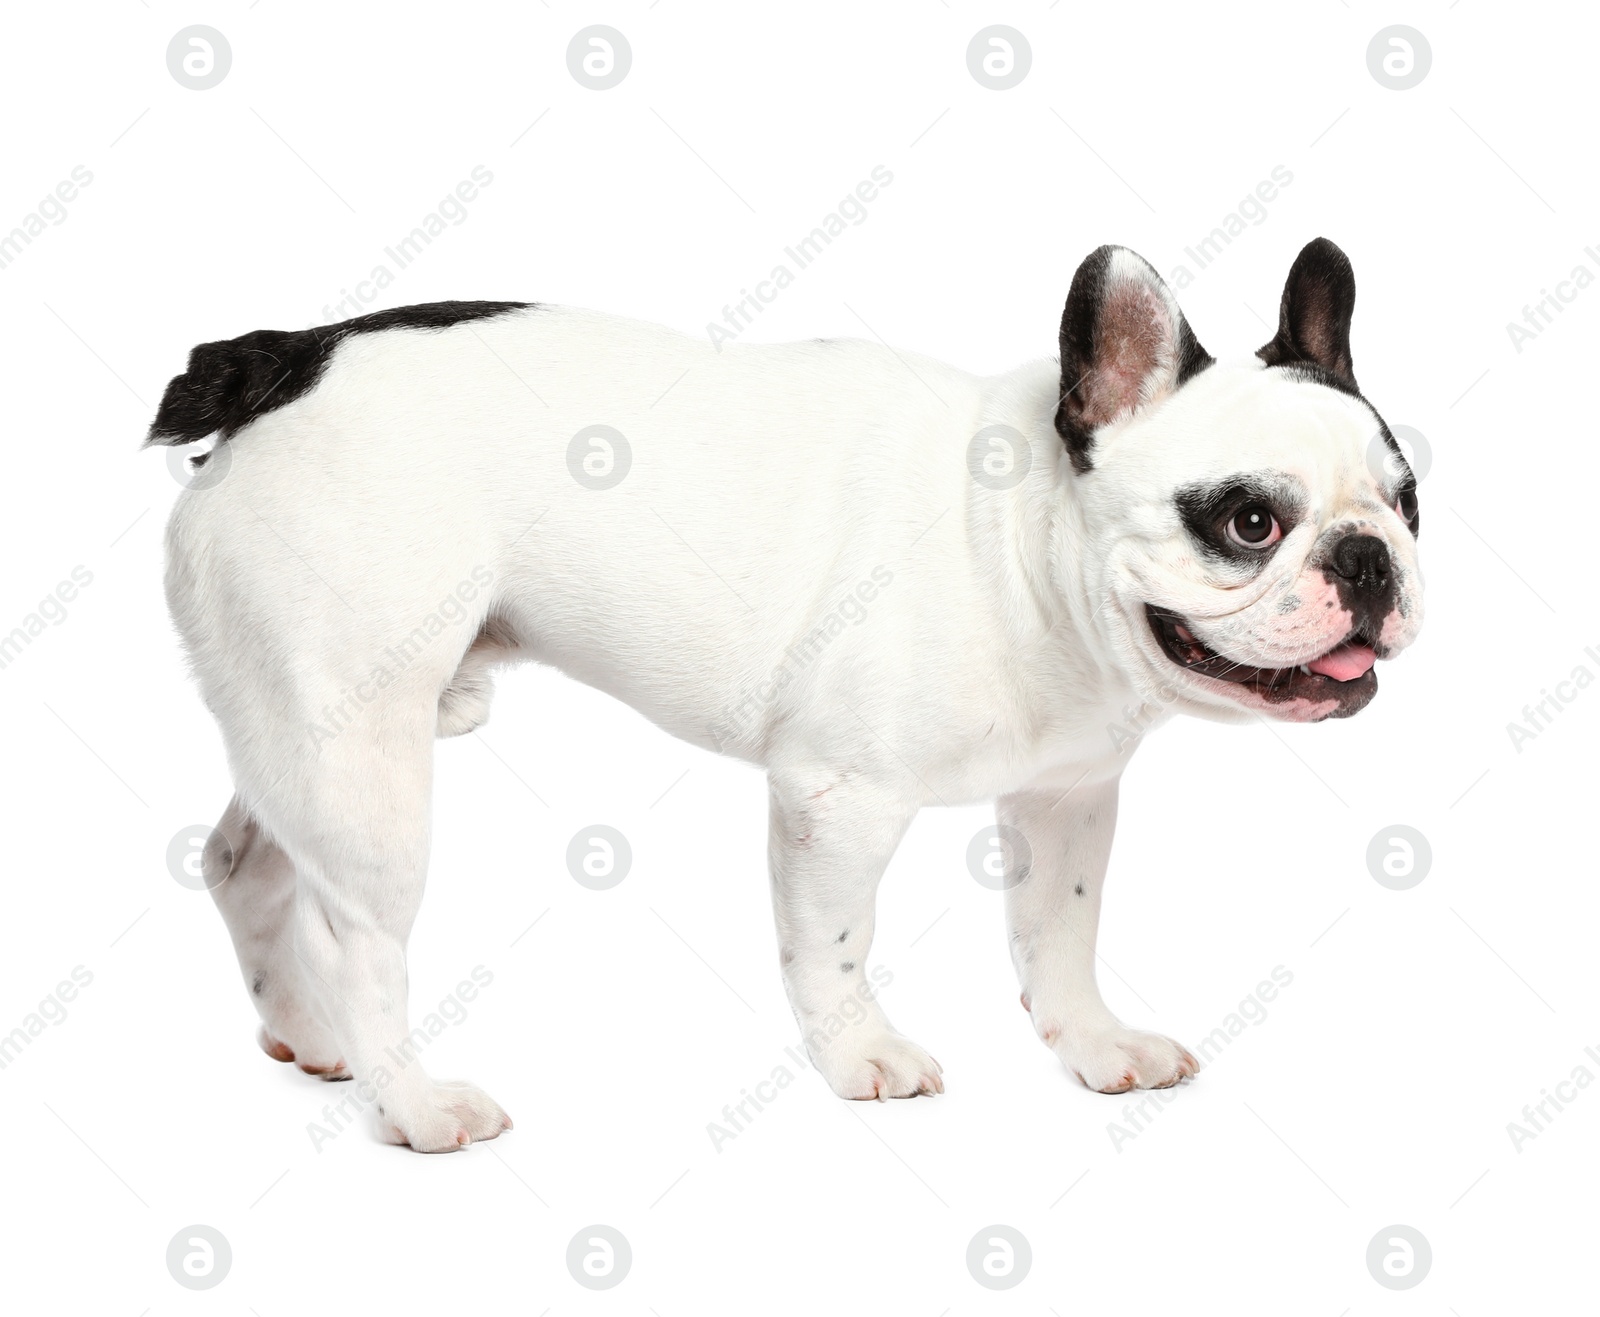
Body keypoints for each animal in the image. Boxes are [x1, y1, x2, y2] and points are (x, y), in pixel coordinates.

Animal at [150, 240, 1427, 1152]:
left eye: (1409, 499)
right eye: (1247, 520)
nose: (1370, 561)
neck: (1020, 540)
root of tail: (284, 358)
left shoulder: (1068, 800)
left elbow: (1059, 931)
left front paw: (1089, 1041)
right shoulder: (838, 800)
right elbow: (835, 942)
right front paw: (862, 1057)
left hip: (297, 726)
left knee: (247, 864)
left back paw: (311, 1038)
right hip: (365, 756)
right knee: (351, 931)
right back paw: (409, 1103)